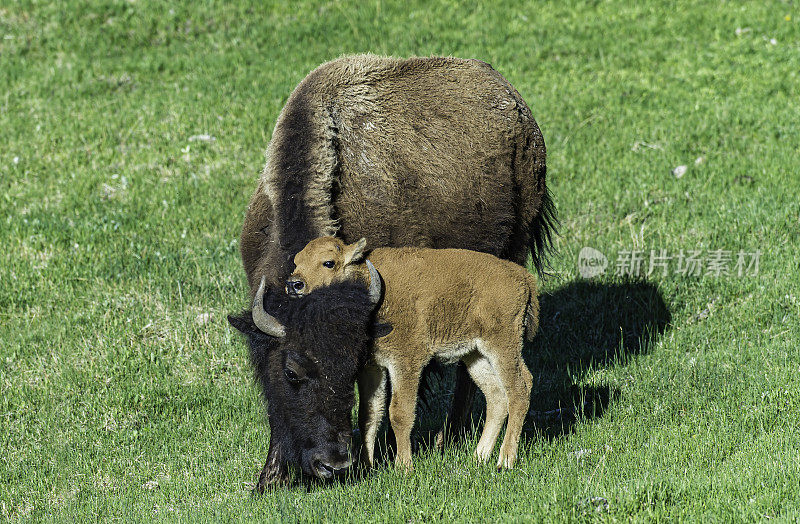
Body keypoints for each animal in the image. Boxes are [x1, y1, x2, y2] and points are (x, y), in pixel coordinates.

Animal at [288, 235, 536, 468]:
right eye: (296, 261)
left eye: (328, 263)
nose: (294, 284)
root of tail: (523, 276)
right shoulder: (372, 367)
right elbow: (369, 414)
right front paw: (367, 467)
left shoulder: (405, 362)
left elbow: (399, 412)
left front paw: (403, 466)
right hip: (475, 355)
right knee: (496, 396)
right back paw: (479, 456)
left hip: (502, 345)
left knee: (519, 389)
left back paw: (505, 460)